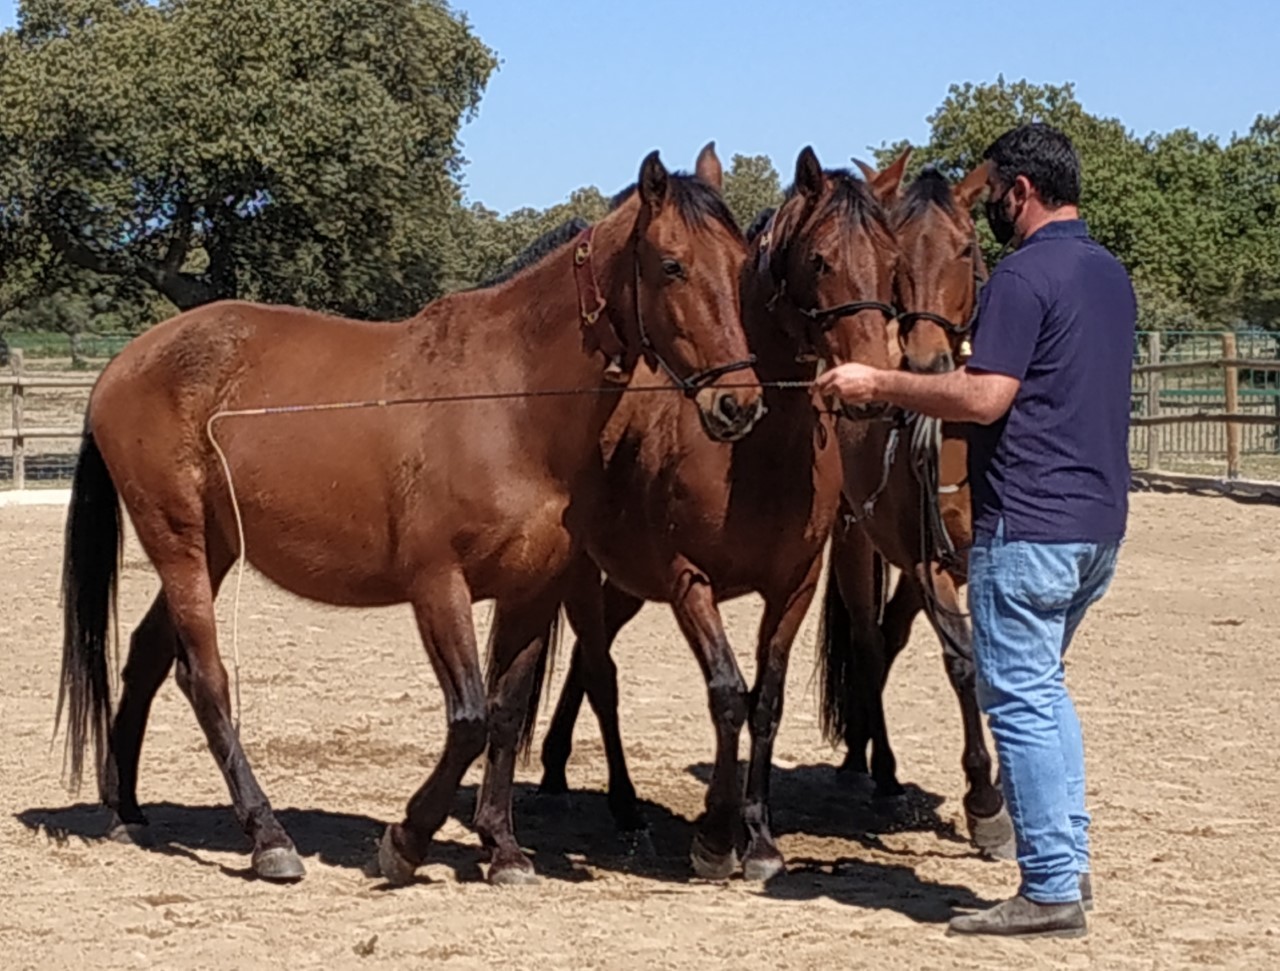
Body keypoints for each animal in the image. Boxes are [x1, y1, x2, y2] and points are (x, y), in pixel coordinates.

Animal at [55, 146, 762, 890]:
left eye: (741, 262)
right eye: (671, 264)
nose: (737, 403)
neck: (509, 400)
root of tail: (126, 363)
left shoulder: (534, 592)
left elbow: (505, 714)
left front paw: (503, 847)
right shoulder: (437, 586)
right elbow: (469, 716)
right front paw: (407, 839)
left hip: (212, 550)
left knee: (148, 656)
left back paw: (127, 809)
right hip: (181, 545)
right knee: (205, 679)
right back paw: (268, 837)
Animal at [535, 146, 896, 880]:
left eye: (891, 257)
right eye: (821, 260)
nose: (873, 386)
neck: (755, 454)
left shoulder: (794, 587)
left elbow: (766, 701)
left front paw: (757, 835)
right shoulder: (687, 581)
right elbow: (727, 693)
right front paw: (714, 835)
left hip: (626, 585)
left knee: (591, 661)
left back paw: (565, 773)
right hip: (585, 573)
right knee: (598, 671)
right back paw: (621, 807)